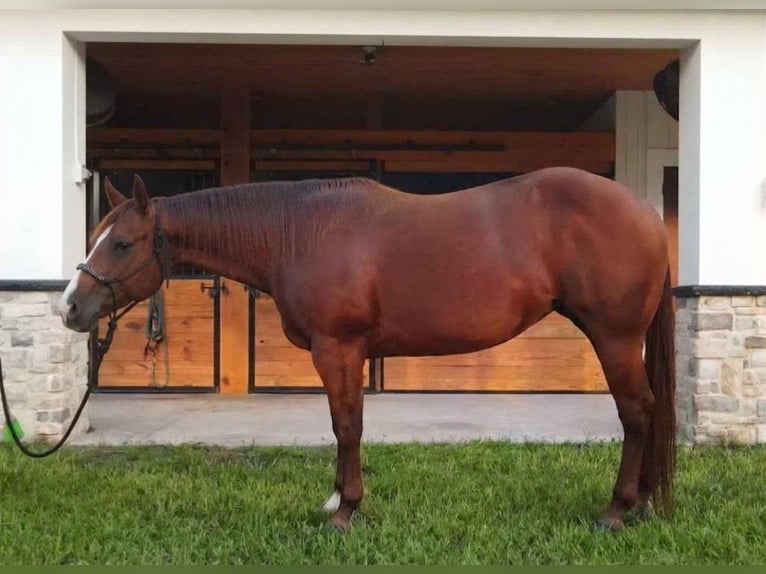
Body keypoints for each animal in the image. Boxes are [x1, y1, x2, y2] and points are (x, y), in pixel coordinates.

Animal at [58, 167, 676, 533]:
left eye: (121, 243)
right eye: (95, 236)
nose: (70, 307)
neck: (298, 232)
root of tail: (645, 213)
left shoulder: (338, 349)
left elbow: (346, 425)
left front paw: (346, 510)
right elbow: (345, 425)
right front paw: (337, 501)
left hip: (615, 338)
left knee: (636, 413)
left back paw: (618, 510)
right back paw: (645, 503)